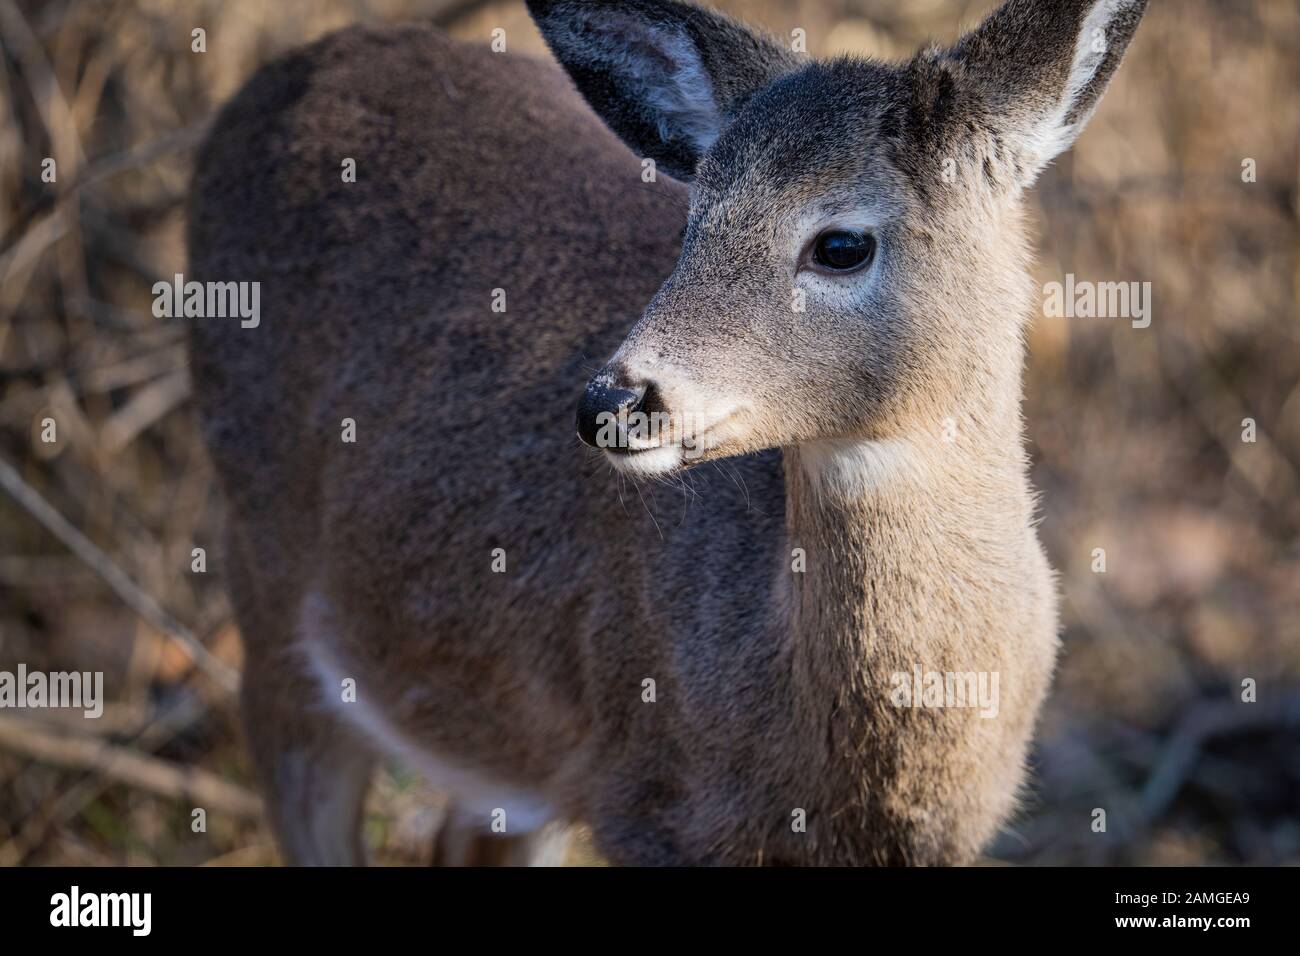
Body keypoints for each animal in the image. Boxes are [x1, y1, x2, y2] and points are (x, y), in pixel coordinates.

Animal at [187, 0, 1148, 865]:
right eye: (692, 223)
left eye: (841, 244)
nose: (611, 401)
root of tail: (274, 79)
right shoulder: (647, 804)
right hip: (263, 569)